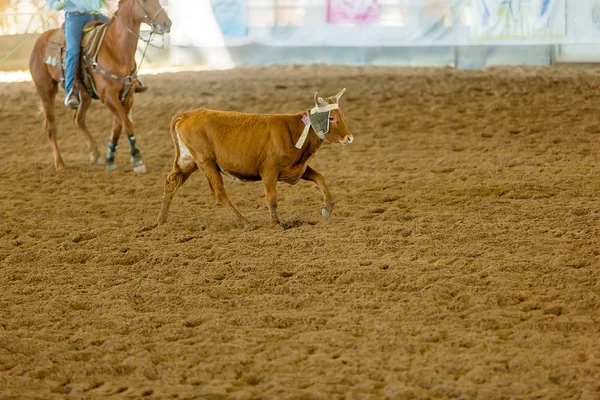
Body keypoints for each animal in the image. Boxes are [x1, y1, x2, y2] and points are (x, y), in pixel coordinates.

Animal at [29, 0, 171, 172]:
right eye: (144, 1)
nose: (167, 23)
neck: (115, 49)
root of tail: (40, 39)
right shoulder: (108, 96)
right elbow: (127, 124)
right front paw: (137, 159)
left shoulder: (127, 96)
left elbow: (118, 126)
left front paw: (110, 158)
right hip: (46, 90)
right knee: (51, 127)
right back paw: (60, 163)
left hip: (85, 95)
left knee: (79, 119)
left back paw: (95, 153)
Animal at [158, 90, 352, 225]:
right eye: (332, 118)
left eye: (342, 116)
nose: (349, 138)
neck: (296, 130)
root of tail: (188, 114)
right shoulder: (269, 170)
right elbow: (271, 198)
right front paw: (276, 223)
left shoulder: (297, 168)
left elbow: (320, 178)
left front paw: (327, 208)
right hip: (206, 161)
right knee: (219, 192)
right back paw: (243, 221)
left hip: (188, 160)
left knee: (171, 182)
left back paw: (161, 222)